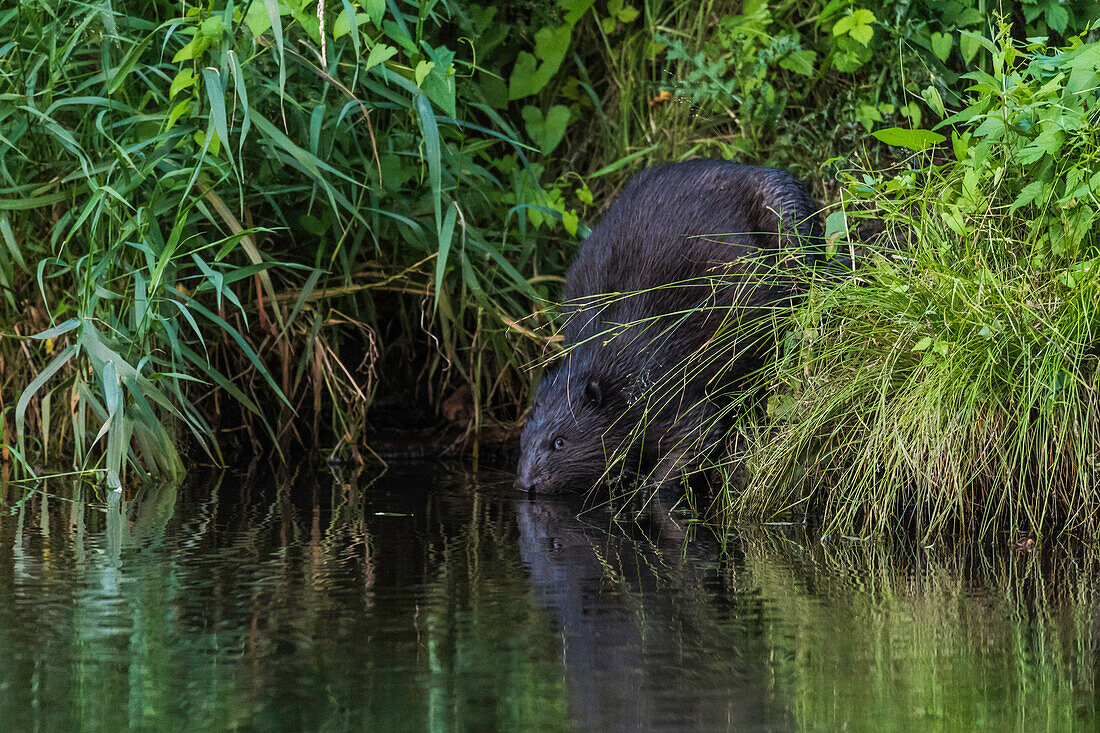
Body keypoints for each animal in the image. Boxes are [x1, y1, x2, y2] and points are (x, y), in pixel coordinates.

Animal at [512, 159, 818, 490]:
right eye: (523, 440)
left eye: (559, 442)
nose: (525, 483)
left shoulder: (664, 386)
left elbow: (697, 431)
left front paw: (648, 485)